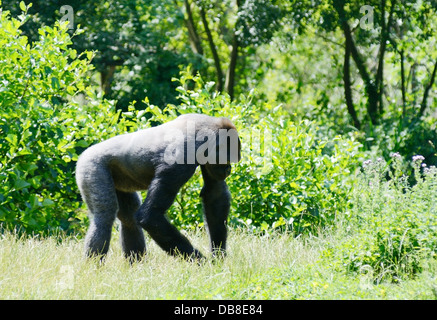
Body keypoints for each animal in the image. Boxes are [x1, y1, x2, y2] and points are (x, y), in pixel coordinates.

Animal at [75, 114, 238, 262]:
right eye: (227, 160)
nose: (228, 169)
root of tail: (84, 153)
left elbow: (215, 195)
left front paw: (218, 256)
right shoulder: (181, 157)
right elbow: (151, 216)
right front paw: (200, 262)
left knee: (128, 217)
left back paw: (137, 265)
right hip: (90, 165)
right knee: (104, 217)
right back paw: (93, 267)